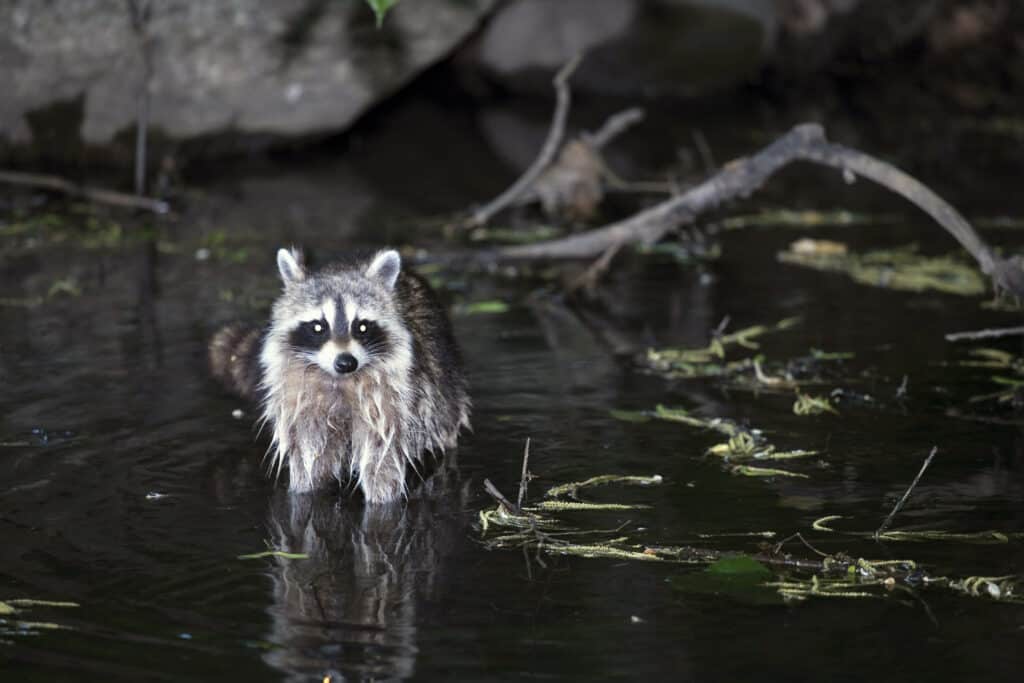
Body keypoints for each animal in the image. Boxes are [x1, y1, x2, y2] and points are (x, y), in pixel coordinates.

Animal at [212, 248, 475, 505]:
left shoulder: (390, 397)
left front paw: (382, 502)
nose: (346, 362)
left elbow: (381, 456)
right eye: (318, 326)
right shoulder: (300, 402)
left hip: (444, 385)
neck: (338, 379)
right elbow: (310, 456)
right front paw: (305, 492)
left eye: (362, 326)